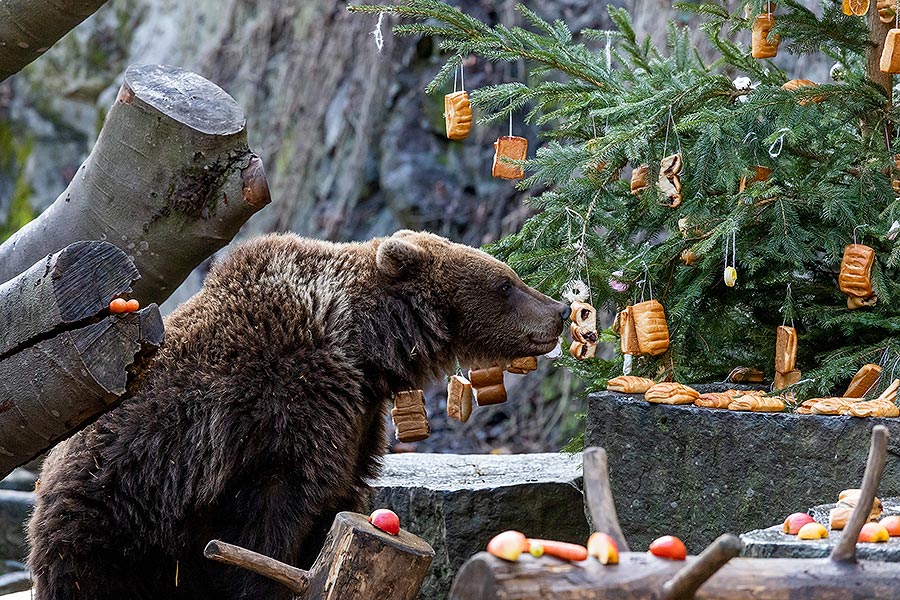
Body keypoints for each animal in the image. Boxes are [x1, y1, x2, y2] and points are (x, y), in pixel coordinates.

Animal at [29, 231, 568, 600]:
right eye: (505, 283)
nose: (560, 310)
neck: (365, 350)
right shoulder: (286, 409)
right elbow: (272, 522)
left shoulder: (357, 421)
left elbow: (336, 498)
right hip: (115, 517)